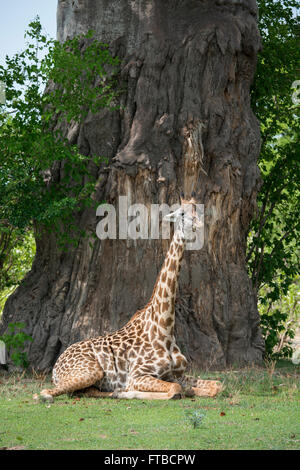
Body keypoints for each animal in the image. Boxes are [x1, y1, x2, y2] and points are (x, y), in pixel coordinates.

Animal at [38, 195, 223, 400]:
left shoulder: (178, 374)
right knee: (45, 392)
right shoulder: (138, 375)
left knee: (88, 391)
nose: (198, 225)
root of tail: (55, 367)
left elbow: (217, 386)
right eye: (182, 213)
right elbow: (174, 390)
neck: (165, 328)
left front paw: (195, 390)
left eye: (198, 211)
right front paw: (129, 392)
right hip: (90, 371)